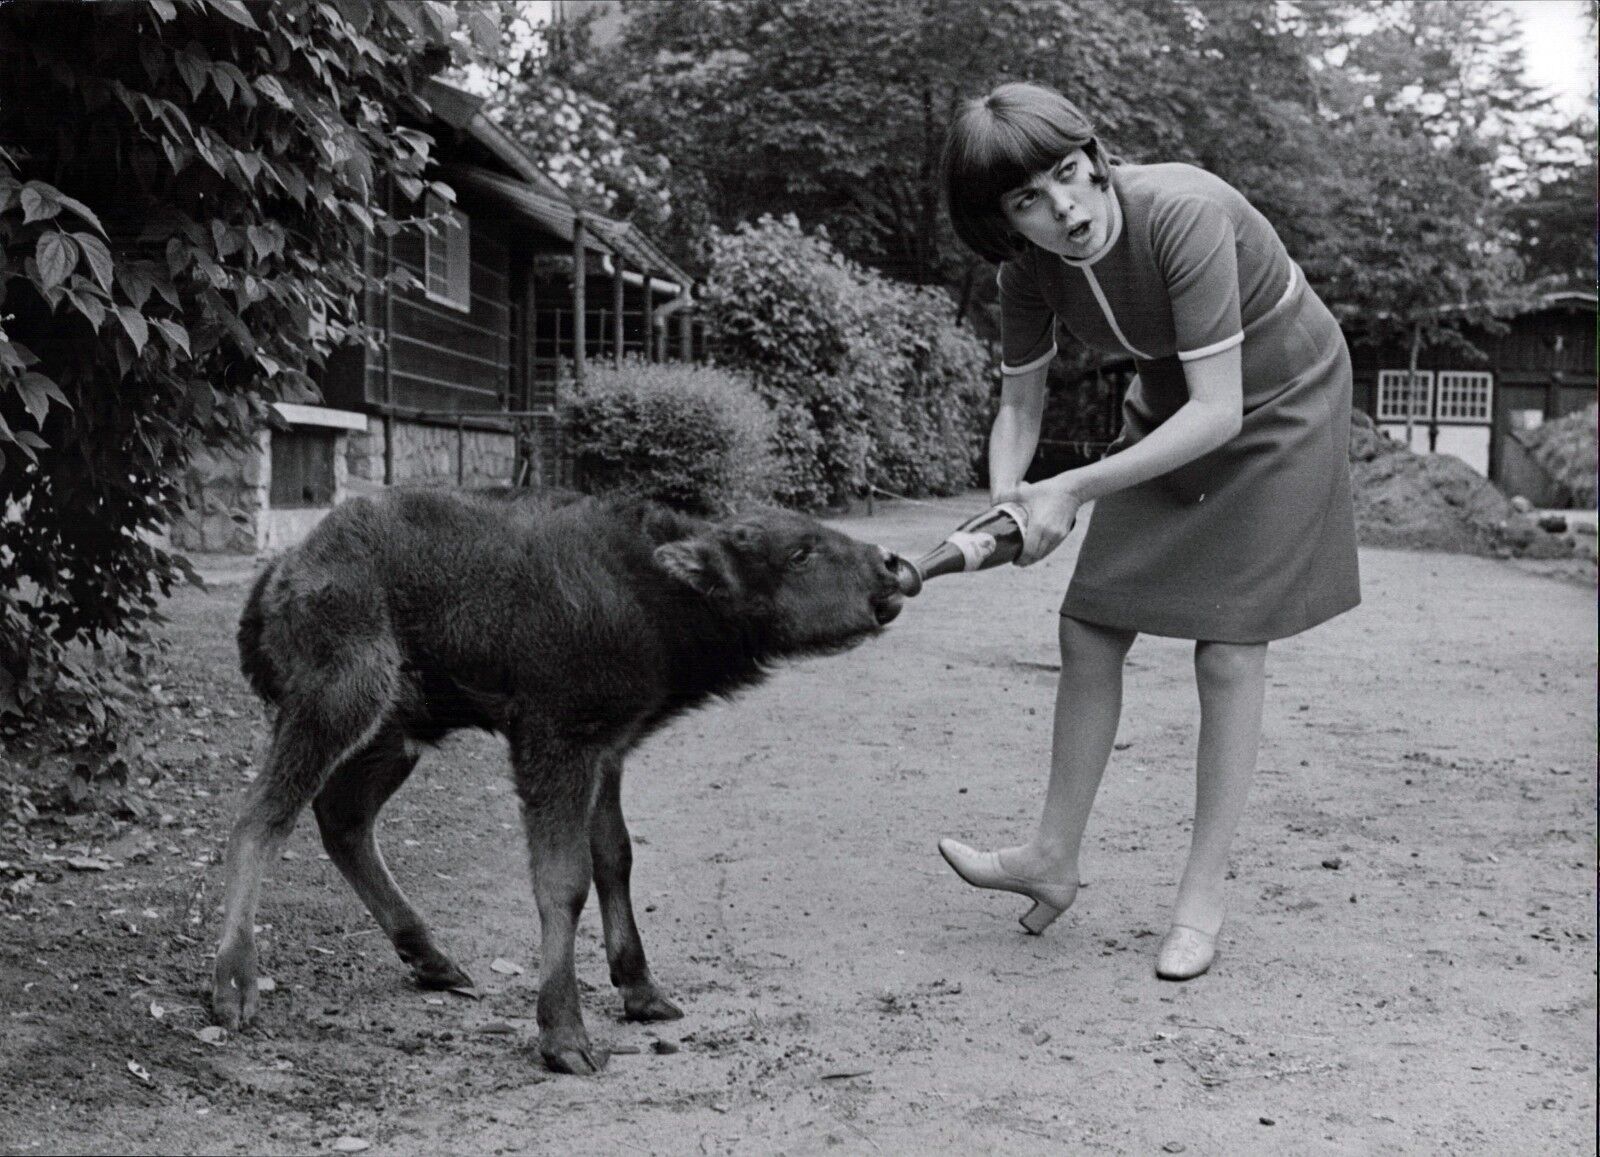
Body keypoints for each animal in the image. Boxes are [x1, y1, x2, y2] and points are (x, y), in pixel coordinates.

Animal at [212, 483, 908, 1075]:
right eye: (799, 552)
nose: (891, 568)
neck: (647, 590)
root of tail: (283, 571)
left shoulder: (608, 751)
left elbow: (615, 858)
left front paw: (643, 991)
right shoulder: (557, 743)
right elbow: (563, 880)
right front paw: (565, 1036)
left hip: (396, 734)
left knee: (344, 820)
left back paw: (434, 960)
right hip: (340, 701)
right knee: (263, 817)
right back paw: (235, 984)